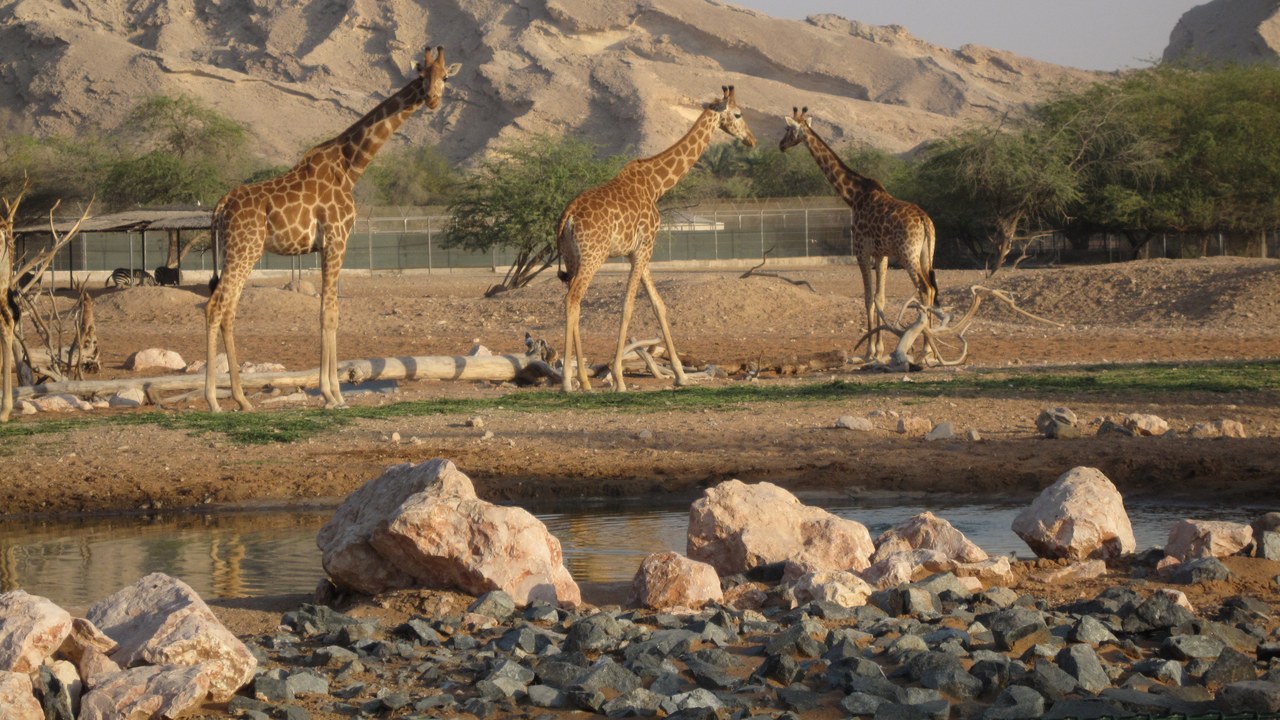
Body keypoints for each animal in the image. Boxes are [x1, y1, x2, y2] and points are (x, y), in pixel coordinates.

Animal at [205, 47, 461, 412]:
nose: (433, 99)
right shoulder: (337, 240)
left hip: (237, 251)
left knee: (227, 309)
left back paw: (241, 399)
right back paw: (214, 400)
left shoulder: (329, 245)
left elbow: (332, 313)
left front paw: (334, 392)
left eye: (446, 77)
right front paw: (332, 394)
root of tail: (223, 204)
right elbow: (329, 313)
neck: (351, 166)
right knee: (217, 307)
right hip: (245, 249)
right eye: (422, 75)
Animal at [556, 85, 756, 392]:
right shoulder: (645, 247)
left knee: (573, 300)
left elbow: (658, 304)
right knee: (573, 298)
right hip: (593, 255)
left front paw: (681, 375)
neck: (656, 185)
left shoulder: (638, 251)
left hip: (572, 257)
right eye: (737, 114)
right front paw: (619, 378)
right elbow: (628, 306)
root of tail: (568, 216)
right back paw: (568, 381)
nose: (752, 140)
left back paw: (584, 382)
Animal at [780, 106, 937, 363]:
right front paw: (879, 349)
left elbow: (867, 298)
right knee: (931, 288)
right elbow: (879, 298)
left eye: (787, 129)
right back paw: (931, 348)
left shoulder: (861, 252)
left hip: (908, 254)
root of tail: (925, 222)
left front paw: (869, 351)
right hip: (925, 253)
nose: (781, 145)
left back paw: (926, 349)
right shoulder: (881, 255)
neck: (853, 196)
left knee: (925, 288)